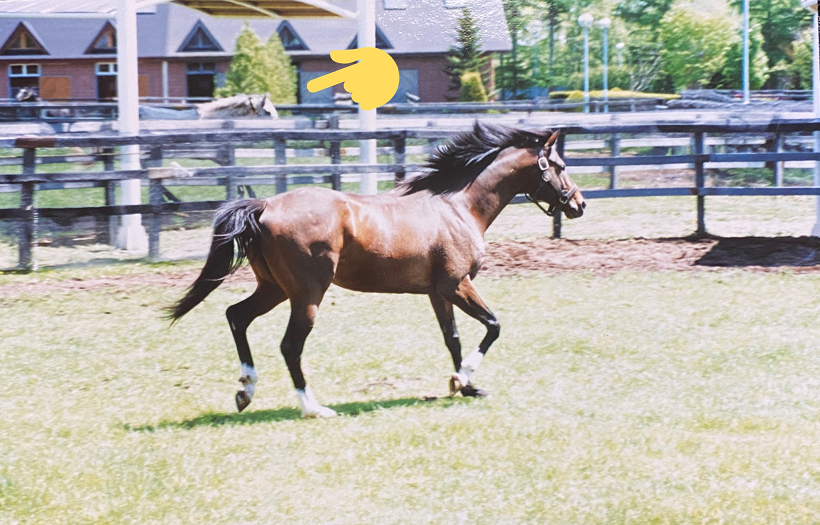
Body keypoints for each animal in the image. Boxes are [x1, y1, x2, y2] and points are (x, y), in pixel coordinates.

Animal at [167, 122, 586, 418]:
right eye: (560, 166)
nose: (579, 204)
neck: (458, 207)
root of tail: (264, 206)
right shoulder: (457, 285)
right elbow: (493, 326)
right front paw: (465, 377)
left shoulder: (438, 292)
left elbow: (452, 338)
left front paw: (463, 385)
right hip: (306, 295)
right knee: (289, 346)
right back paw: (312, 408)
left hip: (273, 288)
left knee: (236, 316)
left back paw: (245, 390)